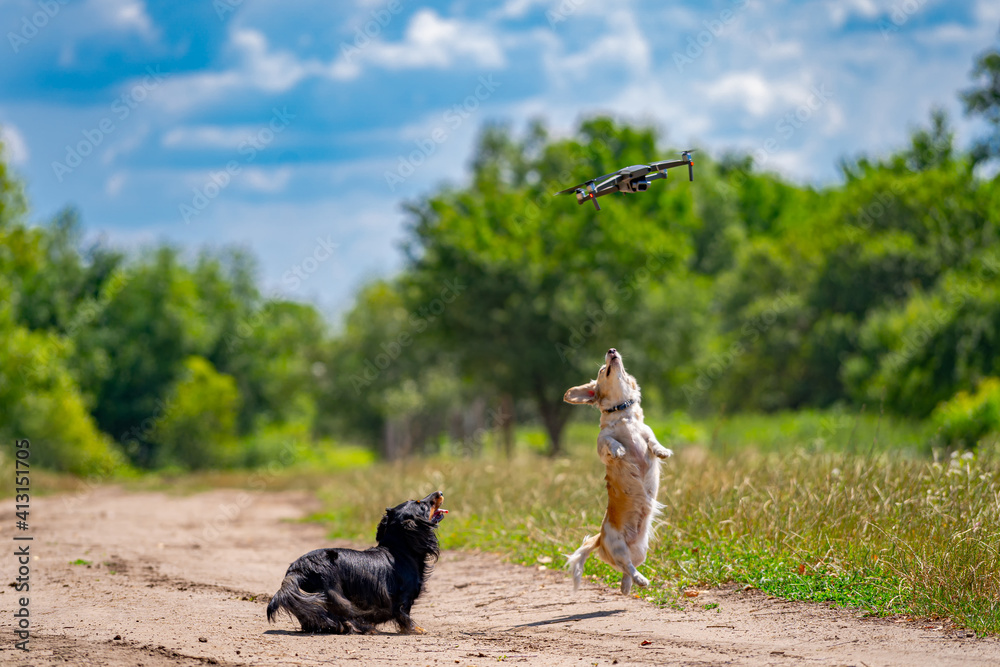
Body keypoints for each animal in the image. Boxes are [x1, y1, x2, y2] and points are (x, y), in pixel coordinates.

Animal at [270, 494, 450, 636]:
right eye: (423, 505)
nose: (440, 492)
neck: (399, 551)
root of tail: (297, 568)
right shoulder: (403, 599)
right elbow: (404, 616)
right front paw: (414, 629)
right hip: (334, 592)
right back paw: (363, 628)